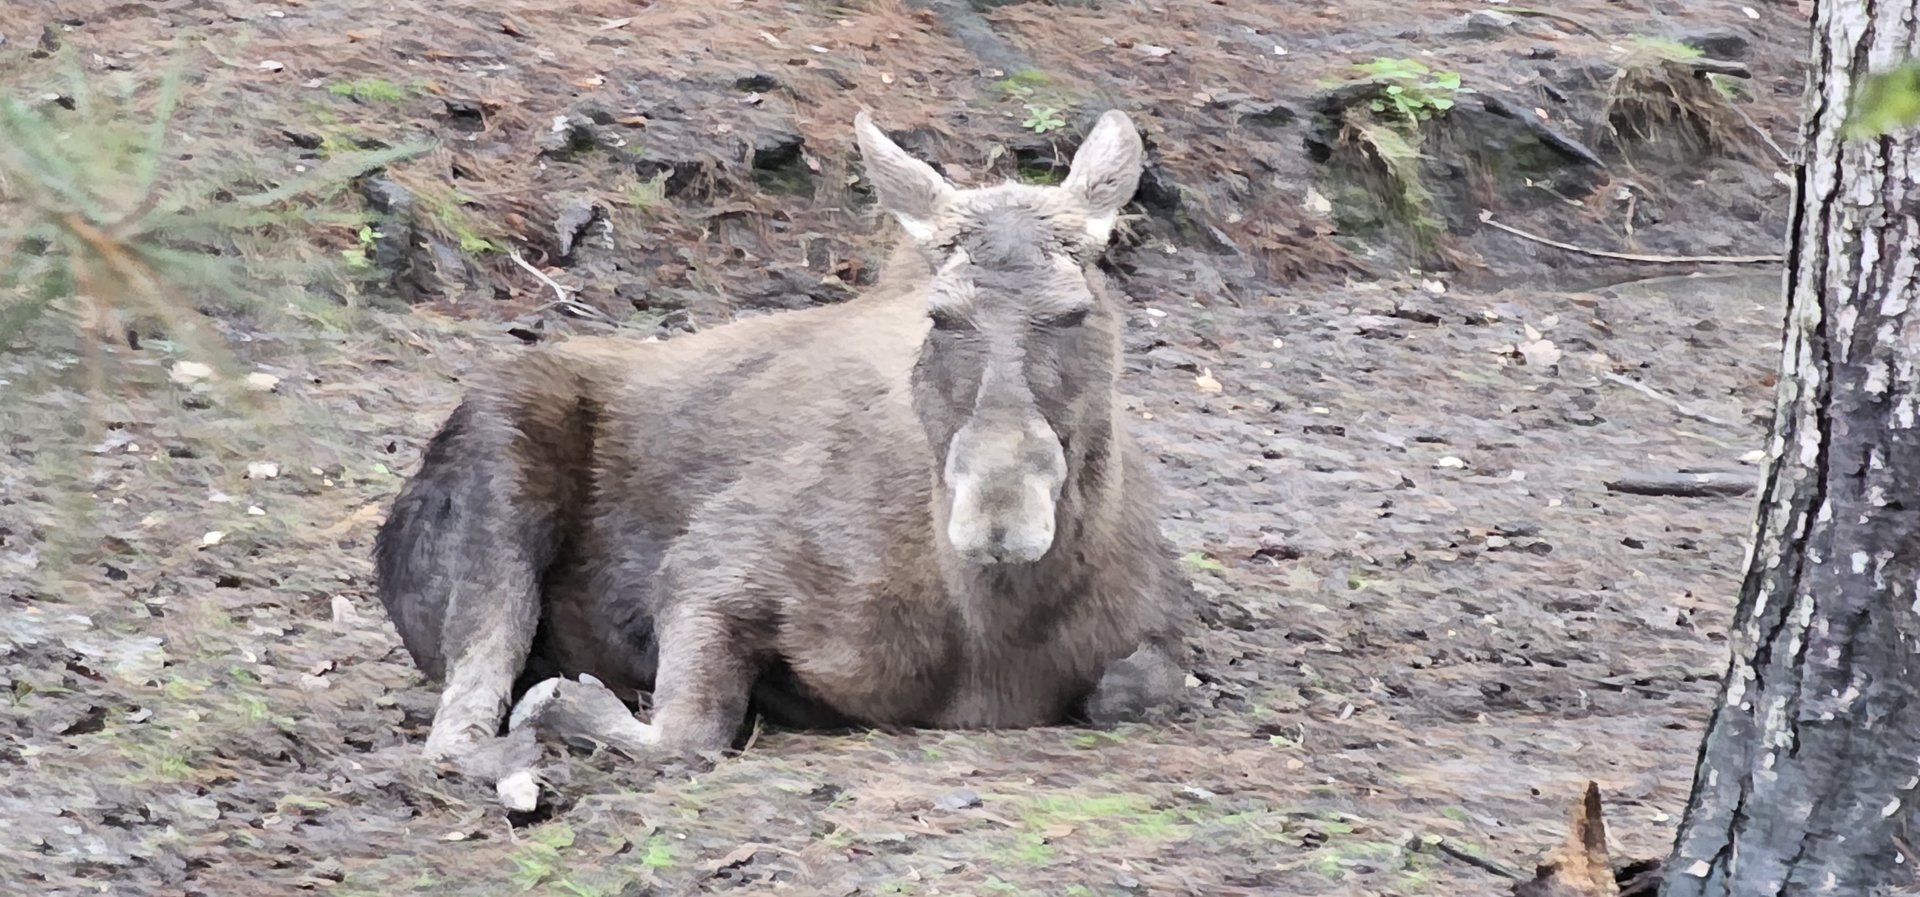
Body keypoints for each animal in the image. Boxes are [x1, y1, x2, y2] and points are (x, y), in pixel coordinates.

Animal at [371, 109, 1191, 777]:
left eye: (1075, 311)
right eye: (941, 315)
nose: (998, 517)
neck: (993, 624)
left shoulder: (1159, 627)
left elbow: (1137, 686)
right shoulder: (709, 562)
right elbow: (686, 731)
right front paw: (564, 703)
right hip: (503, 445)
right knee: (460, 719)